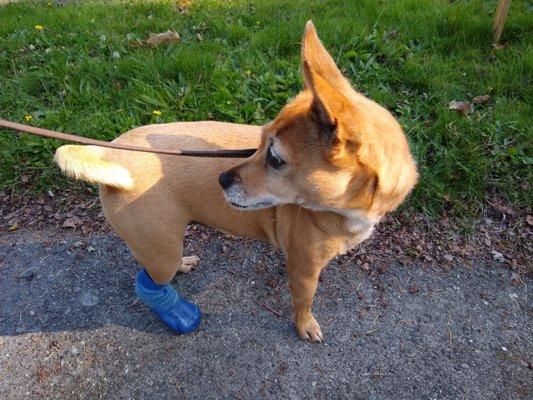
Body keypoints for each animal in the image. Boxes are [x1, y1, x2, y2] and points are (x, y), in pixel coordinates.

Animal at [55, 21, 420, 340]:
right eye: (260, 143)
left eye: (274, 159)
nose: (221, 177)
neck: (342, 210)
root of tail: (111, 155)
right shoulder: (304, 271)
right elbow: (303, 302)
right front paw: (304, 325)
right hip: (161, 251)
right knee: (147, 280)